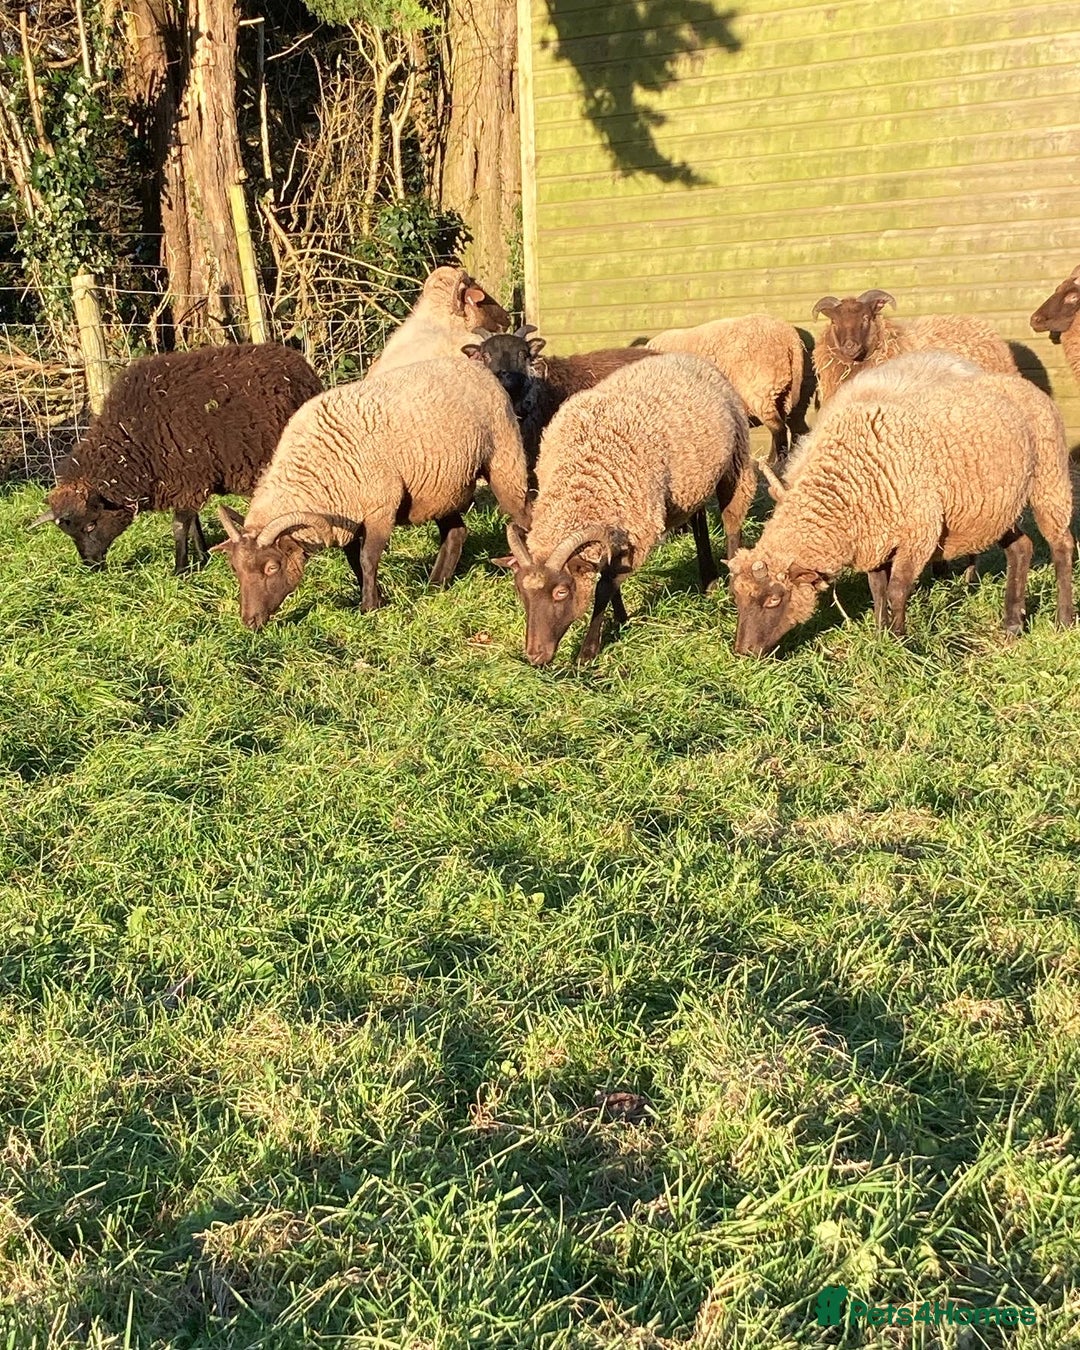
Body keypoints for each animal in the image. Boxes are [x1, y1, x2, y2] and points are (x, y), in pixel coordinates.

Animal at [29, 342, 322, 573]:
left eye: (91, 525)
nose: (91, 566)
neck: (134, 442)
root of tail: (297, 360)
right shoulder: (188, 482)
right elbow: (193, 522)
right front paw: (202, 557)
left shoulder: (187, 478)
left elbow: (180, 525)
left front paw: (179, 570)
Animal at [212, 356, 530, 630]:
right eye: (235, 569)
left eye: (271, 567)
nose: (250, 622)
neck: (316, 469)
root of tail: (478, 368)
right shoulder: (347, 516)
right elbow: (355, 561)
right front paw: (375, 596)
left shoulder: (380, 508)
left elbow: (368, 558)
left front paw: (369, 607)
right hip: (441, 487)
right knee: (456, 533)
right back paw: (435, 584)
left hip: (505, 463)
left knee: (522, 517)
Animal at [497, 351, 753, 665]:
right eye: (520, 591)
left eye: (561, 592)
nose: (535, 656)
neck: (582, 483)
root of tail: (685, 357)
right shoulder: (618, 529)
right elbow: (609, 575)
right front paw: (621, 619)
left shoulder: (639, 530)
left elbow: (605, 586)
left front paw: (588, 651)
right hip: (693, 481)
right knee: (699, 519)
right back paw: (708, 581)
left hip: (736, 460)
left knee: (731, 521)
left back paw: (729, 587)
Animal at [730, 351, 1075, 656]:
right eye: (736, 597)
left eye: (774, 600)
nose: (744, 653)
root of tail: (1025, 385)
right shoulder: (875, 541)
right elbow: (878, 589)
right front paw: (880, 634)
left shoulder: (920, 533)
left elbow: (897, 589)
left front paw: (899, 641)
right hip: (993, 506)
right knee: (1022, 548)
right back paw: (1012, 624)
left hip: (1050, 480)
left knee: (1062, 546)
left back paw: (1064, 620)